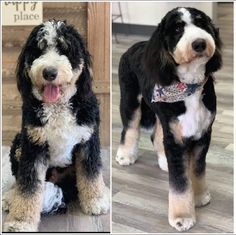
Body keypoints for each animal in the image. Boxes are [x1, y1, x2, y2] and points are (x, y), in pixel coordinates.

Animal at [3, 19, 109, 231]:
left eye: (65, 49)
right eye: (39, 50)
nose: (49, 72)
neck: (58, 106)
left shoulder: (88, 140)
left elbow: (91, 173)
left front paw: (96, 200)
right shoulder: (33, 145)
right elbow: (28, 186)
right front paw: (21, 221)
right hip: (19, 143)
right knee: (18, 179)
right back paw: (11, 196)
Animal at [115, 6, 221, 231]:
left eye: (202, 23)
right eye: (177, 30)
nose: (199, 43)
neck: (189, 87)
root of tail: (134, 46)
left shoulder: (202, 135)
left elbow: (197, 169)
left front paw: (199, 196)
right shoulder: (175, 138)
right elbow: (180, 182)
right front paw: (182, 216)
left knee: (156, 136)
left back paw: (164, 161)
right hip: (130, 99)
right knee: (129, 128)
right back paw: (125, 156)